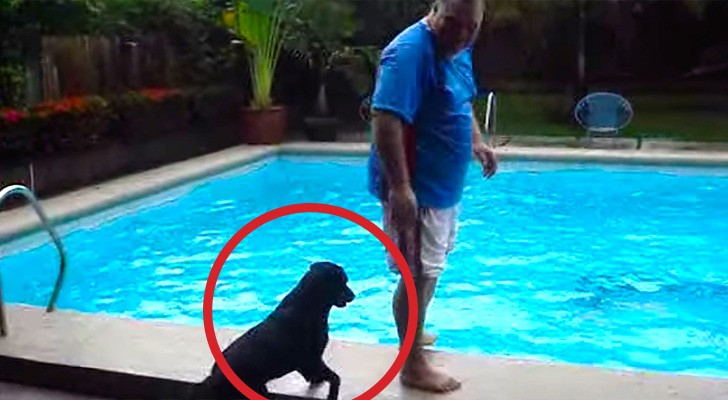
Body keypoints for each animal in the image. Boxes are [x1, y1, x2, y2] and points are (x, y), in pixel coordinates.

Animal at [189, 262, 356, 400]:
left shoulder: (308, 363)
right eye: (343, 282)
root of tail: (211, 379)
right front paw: (332, 394)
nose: (353, 295)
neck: (309, 306)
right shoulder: (312, 360)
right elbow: (335, 378)